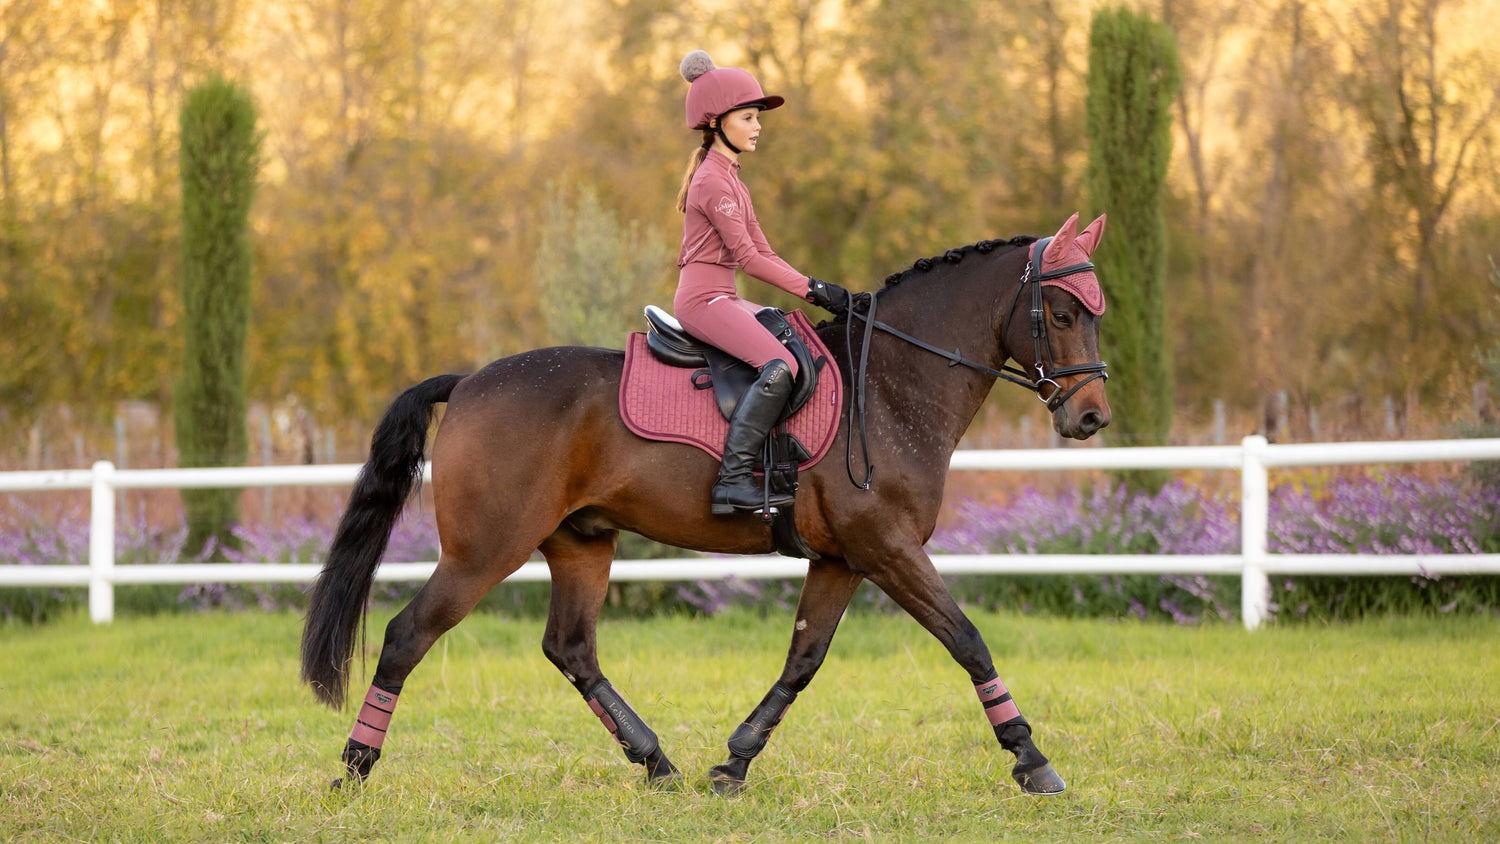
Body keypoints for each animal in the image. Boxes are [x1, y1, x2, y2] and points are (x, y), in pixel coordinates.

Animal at [298, 211, 1110, 797]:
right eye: (1063, 313)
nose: (1092, 417)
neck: (888, 383)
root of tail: (467, 381)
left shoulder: (844, 559)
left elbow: (802, 661)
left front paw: (734, 764)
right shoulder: (889, 549)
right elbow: (967, 640)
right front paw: (1032, 760)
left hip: (580, 543)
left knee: (572, 648)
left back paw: (658, 764)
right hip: (484, 550)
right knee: (406, 636)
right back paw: (354, 769)